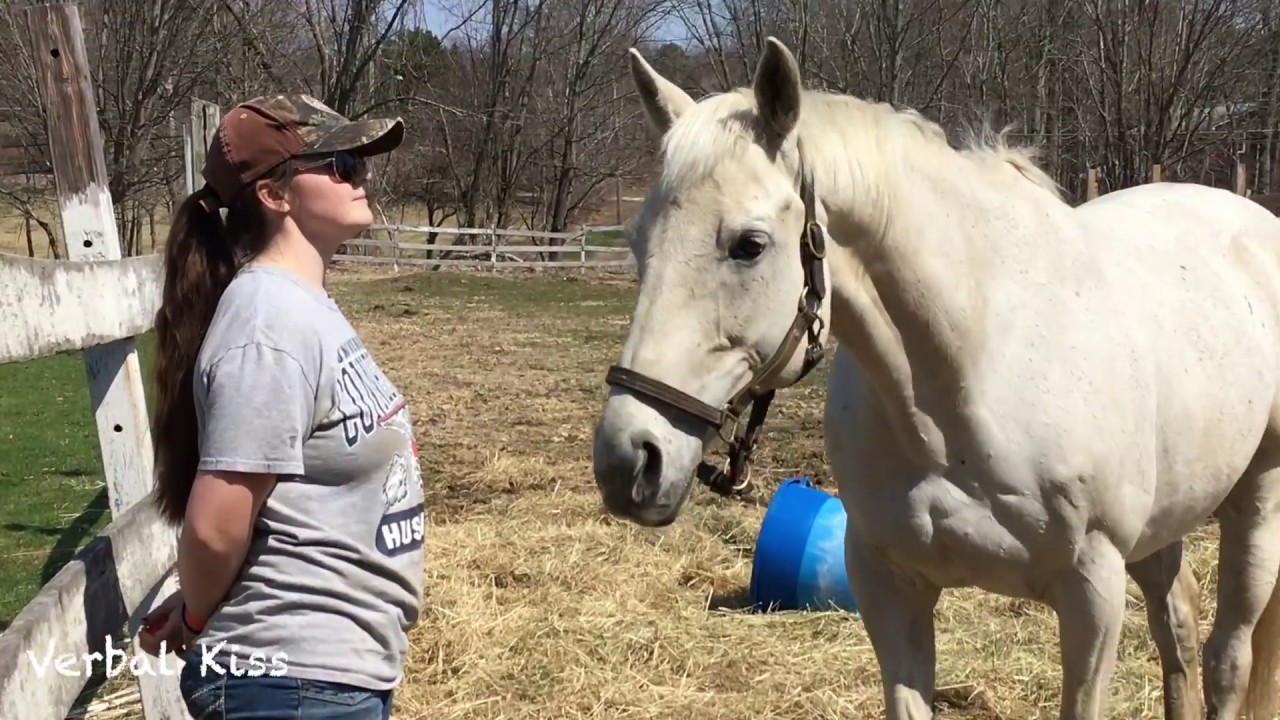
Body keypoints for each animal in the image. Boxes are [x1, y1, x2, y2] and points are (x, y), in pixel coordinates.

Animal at [590, 37, 1280, 720]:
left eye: (749, 244)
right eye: (638, 241)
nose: (629, 460)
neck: (971, 370)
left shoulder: (1093, 592)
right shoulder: (891, 586)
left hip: (1256, 503)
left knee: (1227, 658)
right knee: (1178, 630)